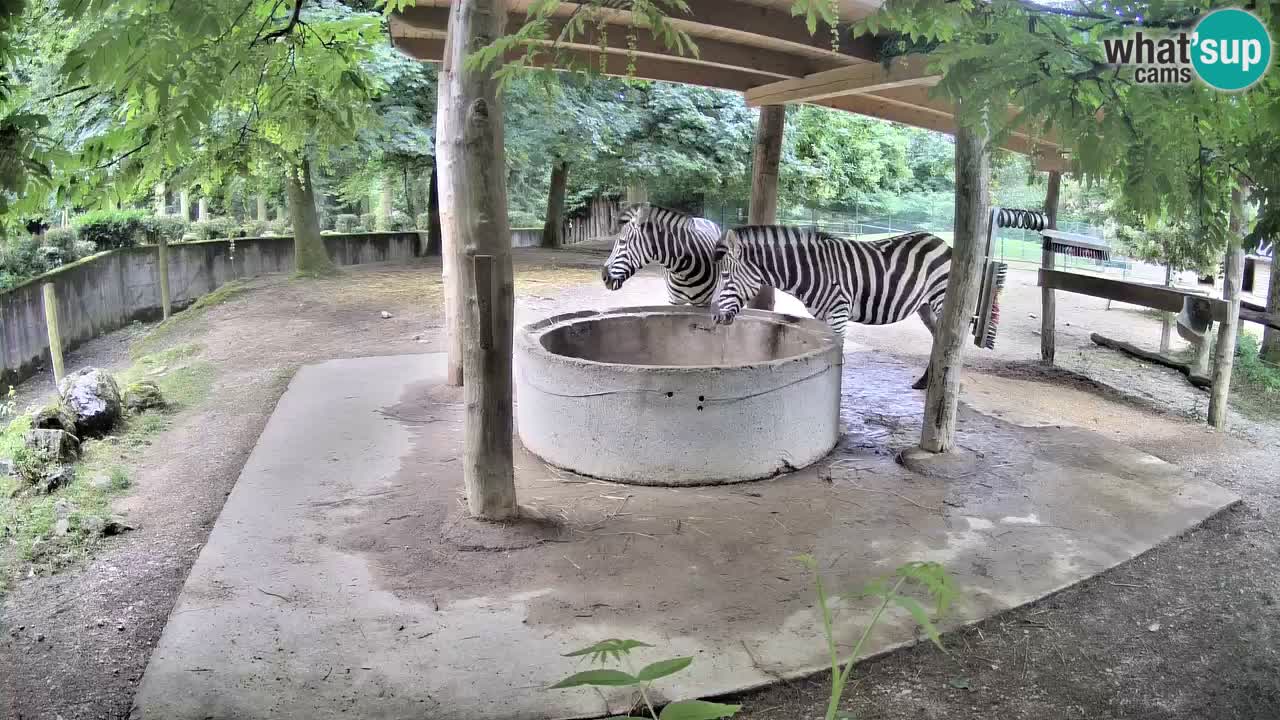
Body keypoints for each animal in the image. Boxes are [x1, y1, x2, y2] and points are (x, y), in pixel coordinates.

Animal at [712, 225, 951, 389]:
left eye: (725, 275)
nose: (714, 317)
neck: (812, 270)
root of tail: (940, 241)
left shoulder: (839, 312)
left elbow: (838, 356)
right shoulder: (823, 318)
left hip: (940, 298)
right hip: (925, 306)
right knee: (938, 337)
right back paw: (926, 382)